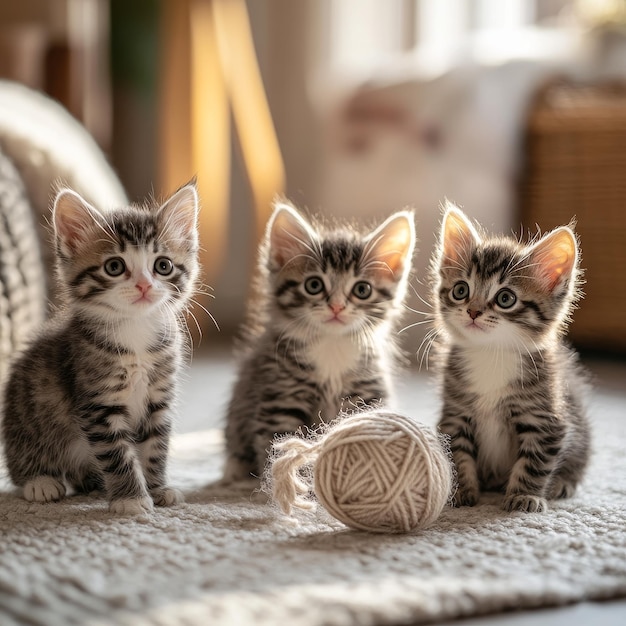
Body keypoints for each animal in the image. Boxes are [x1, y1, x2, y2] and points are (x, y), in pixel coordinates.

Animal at [0, 180, 200, 512]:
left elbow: (155, 447)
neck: (135, 331)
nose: (144, 285)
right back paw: (40, 482)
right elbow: (118, 454)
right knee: (24, 461)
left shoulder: (159, 397)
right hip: (24, 413)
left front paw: (157, 488)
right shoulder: (98, 404)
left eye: (163, 265)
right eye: (115, 267)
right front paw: (132, 499)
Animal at [222, 200, 412, 478]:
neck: (332, 345)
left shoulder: (367, 393)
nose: (336, 307)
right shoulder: (281, 396)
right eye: (314, 285)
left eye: (362, 290)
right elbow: (282, 447)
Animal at [432, 202, 588, 510]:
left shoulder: (545, 419)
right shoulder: (455, 414)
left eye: (505, 298)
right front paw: (461, 491)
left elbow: (534, 462)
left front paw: (523, 495)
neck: (490, 354)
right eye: (460, 290)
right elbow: (458, 454)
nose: (473, 311)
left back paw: (562, 483)